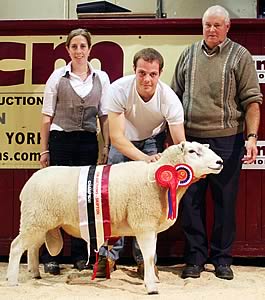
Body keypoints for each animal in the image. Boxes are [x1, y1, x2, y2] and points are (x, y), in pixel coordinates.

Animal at [6, 142, 223, 294]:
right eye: (193, 152)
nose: (220, 162)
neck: (155, 177)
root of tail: (28, 184)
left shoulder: (150, 226)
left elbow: (151, 255)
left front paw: (152, 278)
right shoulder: (143, 224)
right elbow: (148, 255)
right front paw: (151, 287)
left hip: (38, 221)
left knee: (32, 247)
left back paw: (35, 273)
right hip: (35, 219)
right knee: (16, 247)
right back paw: (12, 280)